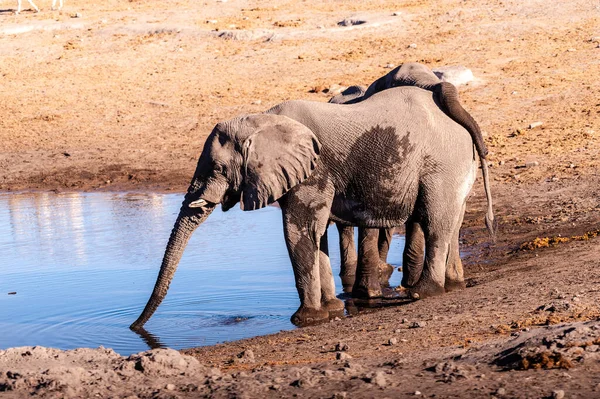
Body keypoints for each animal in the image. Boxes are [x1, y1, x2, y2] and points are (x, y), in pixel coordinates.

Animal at [130, 85, 492, 332]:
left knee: (434, 222)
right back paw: (453, 284)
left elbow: (297, 233)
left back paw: (424, 293)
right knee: (451, 222)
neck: (263, 120)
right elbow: (316, 238)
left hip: (440, 164)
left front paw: (305, 320)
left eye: (218, 169)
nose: (135, 328)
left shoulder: (314, 172)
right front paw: (331, 310)